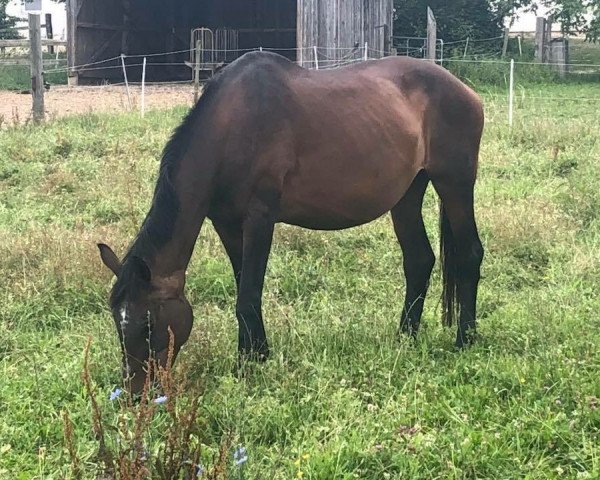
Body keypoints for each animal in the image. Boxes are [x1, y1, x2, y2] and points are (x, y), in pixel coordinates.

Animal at [97, 51, 482, 394]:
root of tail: (466, 91)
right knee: (419, 260)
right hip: (407, 196)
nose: (134, 394)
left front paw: (247, 364)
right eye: (117, 322)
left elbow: (248, 294)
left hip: (455, 183)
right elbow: (244, 286)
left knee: (470, 254)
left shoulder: (260, 217)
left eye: (148, 325)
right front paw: (257, 353)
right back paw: (405, 336)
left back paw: (465, 339)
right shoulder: (226, 222)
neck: (232, 126)